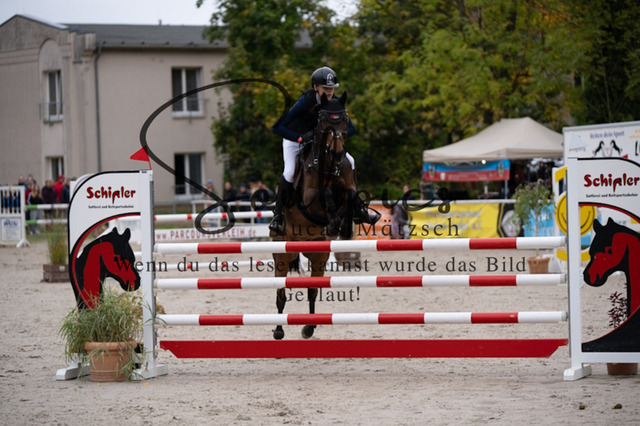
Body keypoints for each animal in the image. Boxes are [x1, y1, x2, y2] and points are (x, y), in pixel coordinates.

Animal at [270, 92, 357, 340]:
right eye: (324, 121)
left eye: (344, 120)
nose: (338, 154)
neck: (330, 166)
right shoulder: (309, 198)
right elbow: (325, 193)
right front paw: (334, 221)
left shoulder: (349, 185)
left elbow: (349, 195)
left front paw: (341, 226)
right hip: (282, 254)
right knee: (281, 292)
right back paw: (278, 330)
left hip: (318, 255)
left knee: (312, 290)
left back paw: (309, 328)